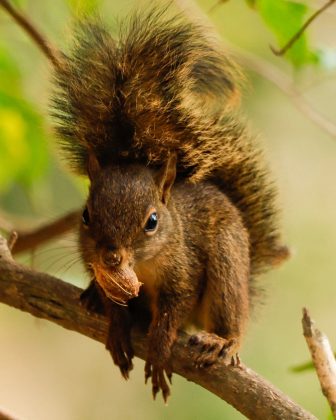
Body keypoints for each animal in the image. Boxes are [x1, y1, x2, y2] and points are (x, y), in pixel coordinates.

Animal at [51, 6, 288, 400]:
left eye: (152, 221)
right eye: (85, 216)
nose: (111, 258)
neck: (142, 267)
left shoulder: (184, 269)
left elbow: (171, 313)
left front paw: (160, 349)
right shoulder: (93, 259)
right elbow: (115, 304)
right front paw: (117, 325)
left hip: (227, 264)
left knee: (231, 318)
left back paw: (221, 341)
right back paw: (93, 297)